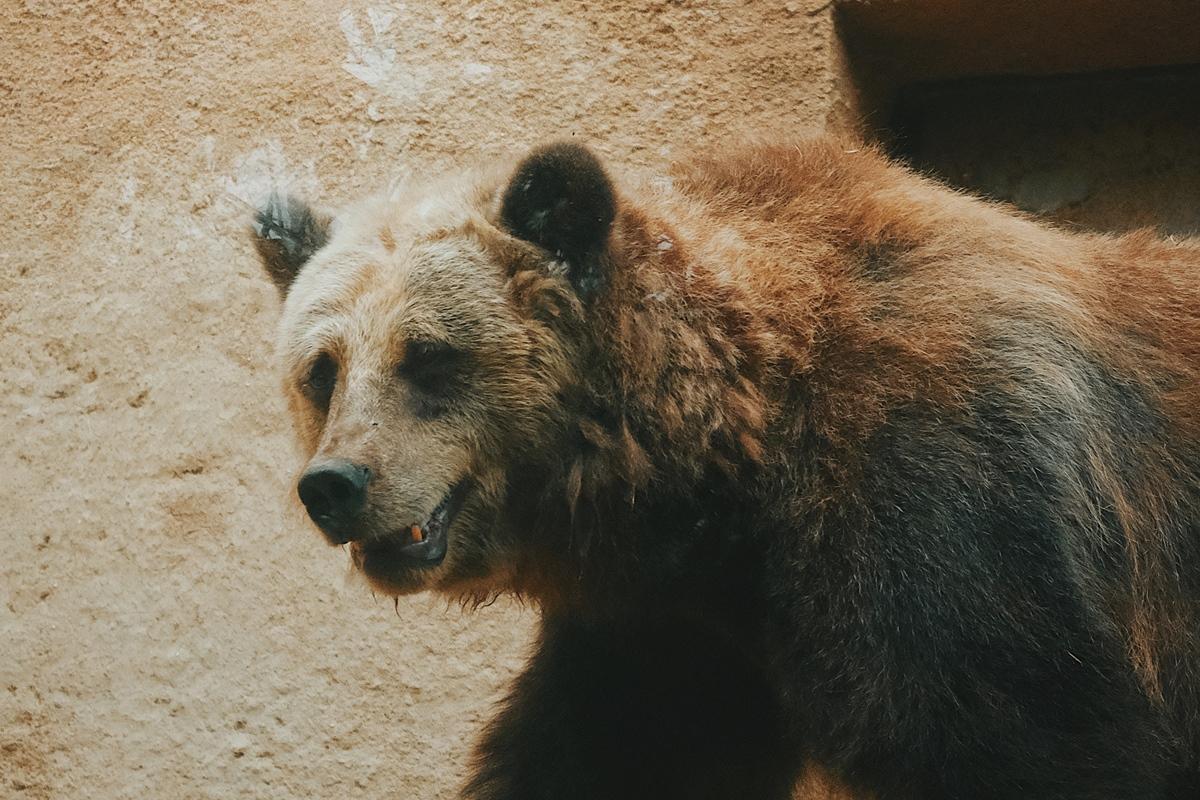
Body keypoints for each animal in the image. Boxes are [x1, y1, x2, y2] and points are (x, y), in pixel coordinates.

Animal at [253, 139, 1200, 800]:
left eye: (429, 357)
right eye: (324, 370)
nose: (335, 485)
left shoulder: (953, 530)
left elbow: (1023, 742)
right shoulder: (673, 636)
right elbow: (613, 753)